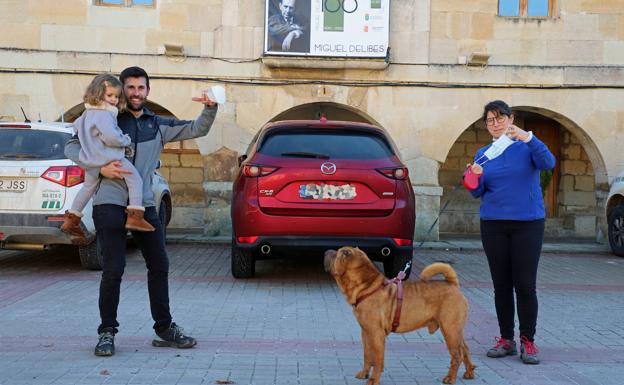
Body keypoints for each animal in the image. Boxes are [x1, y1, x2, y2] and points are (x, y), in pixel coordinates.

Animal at [324, 248, 476, 382]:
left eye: (340, 253)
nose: (326, 251)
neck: (367, 287)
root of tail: (453, 284)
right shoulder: (366, 332)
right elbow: (367, 355)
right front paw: (364, 373)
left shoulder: (376, 334)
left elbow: (378, 360)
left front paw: (373, 380)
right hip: (455, 330)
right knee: (465, 349)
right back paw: (469, 373)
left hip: (450, 329)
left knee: (457, 354)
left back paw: (450, 378)